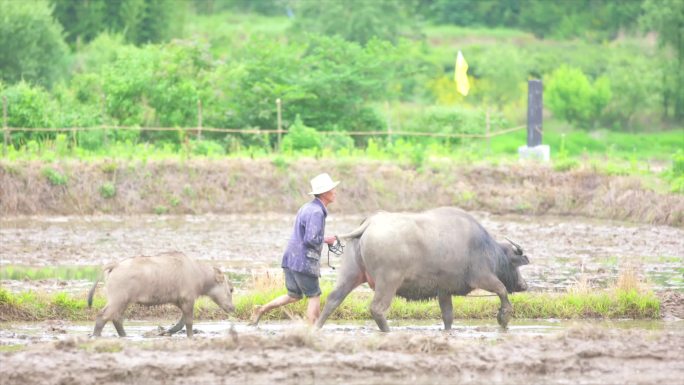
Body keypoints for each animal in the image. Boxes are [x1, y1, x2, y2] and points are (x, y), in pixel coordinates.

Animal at [87, 249, 236, 336]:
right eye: (231, 289)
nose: (233, 308)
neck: (197, 272)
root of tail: (116, 265)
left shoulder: (180, 301)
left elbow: (182, 321)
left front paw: (169, 331)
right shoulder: (188, 300)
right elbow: (188, 322)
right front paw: (190, 336)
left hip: (123, 302)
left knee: (116, 318)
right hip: (118, 300)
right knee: (102, 316)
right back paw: (96, 336)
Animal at [318, 207, 532, 330]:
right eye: (514, 263)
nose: (524, 284)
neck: (485, 247)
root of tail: (370, 222)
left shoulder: (444, 290)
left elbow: (448, 316)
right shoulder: (482, 277)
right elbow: (502, 290)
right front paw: (503, 317)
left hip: (351, 274)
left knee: (332, 300)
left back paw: (316, 327)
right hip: (388, 282)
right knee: (377, 309)